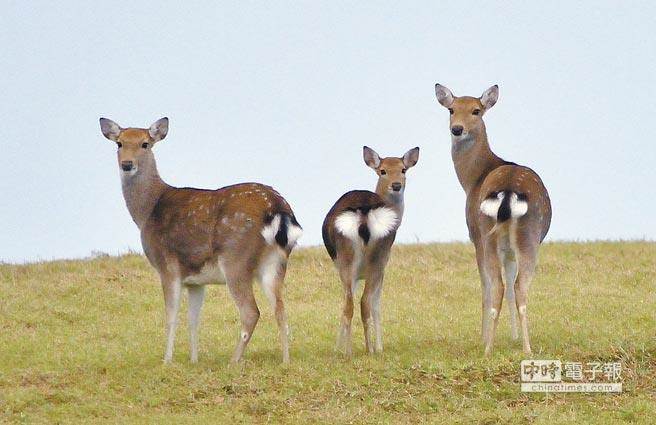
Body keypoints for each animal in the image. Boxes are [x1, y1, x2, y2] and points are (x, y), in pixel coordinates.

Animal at [98, 117, 304, 362]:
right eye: (119, 143)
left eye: (145, 143)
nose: (127, 164)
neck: (147, 212)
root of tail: (278, 208)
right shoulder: (195, 281)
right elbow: (193, 320)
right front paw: (194, 360)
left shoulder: (167, 266)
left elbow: (171, 317)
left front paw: (167, 361)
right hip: (275, 262)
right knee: (281, 310)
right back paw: (286, 361)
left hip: (235, 259)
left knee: (251, 312)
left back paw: (233, 362)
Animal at [322, 146, 420, 354]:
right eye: (382, 171)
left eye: (403, 169)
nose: (396, 185)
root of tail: (364, 211)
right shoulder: (383, 268)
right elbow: (376, 305)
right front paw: (380, 347)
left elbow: (344, 305)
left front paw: (337, 348)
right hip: (378, 259)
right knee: (365, 302)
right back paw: (369, 350)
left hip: (347, 261)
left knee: (350, 304)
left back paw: (349, 352)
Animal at [436, 83, 552, 354]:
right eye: (451, 109)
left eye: (476, 110)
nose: (457, 129)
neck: (472, 180)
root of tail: (508, 191)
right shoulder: (504, 247)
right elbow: (506, 286)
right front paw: (511, 337)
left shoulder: (473, 235)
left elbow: (486, 287)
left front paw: (486, 336)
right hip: (525, 237)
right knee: (515, 286)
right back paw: (522, 347)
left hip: (488, 233)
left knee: (499, 286)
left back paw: (492, 347)